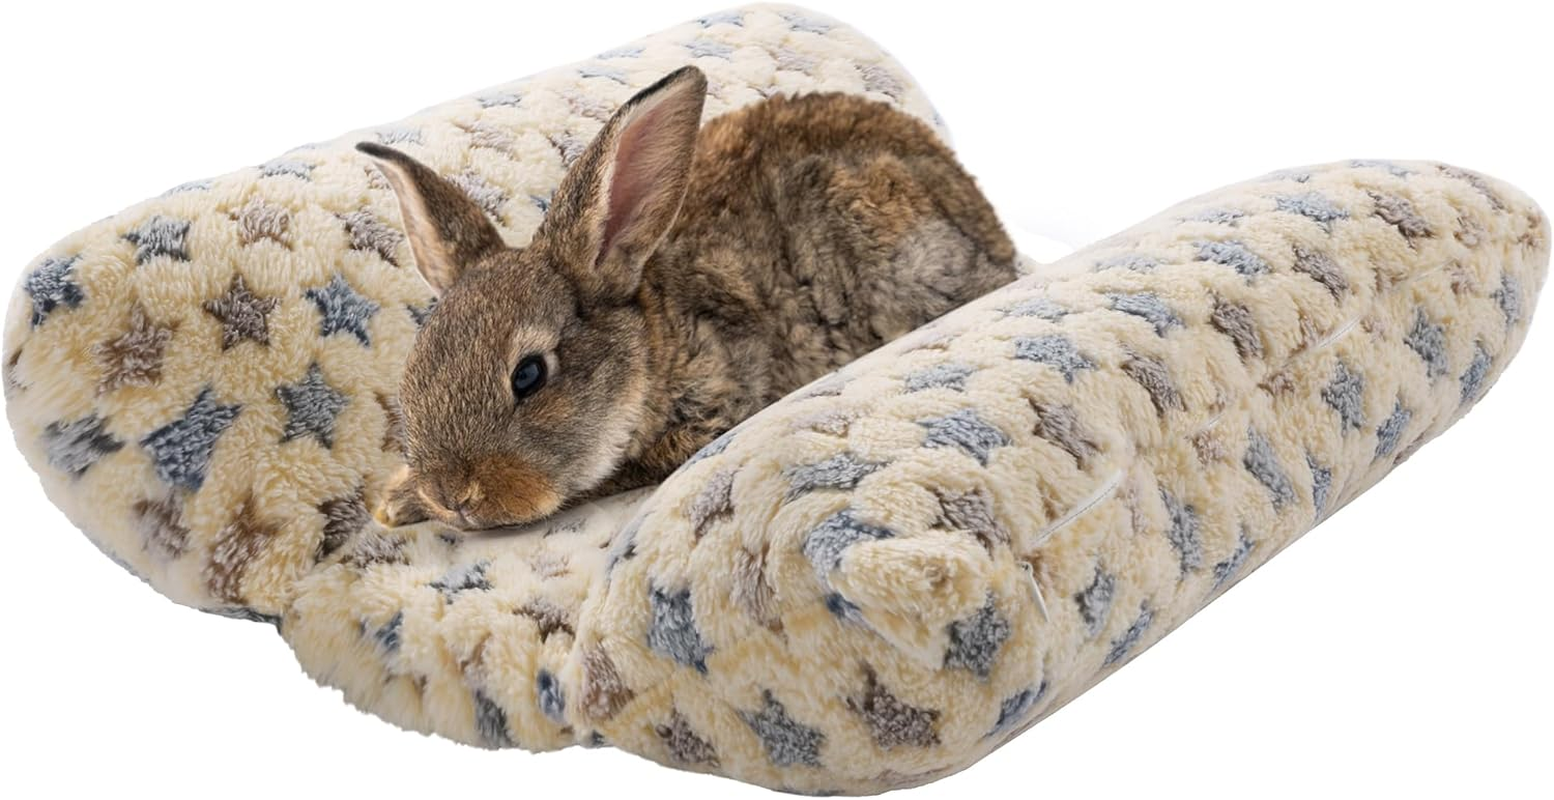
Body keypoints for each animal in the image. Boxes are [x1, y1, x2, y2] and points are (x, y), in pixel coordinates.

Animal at [360, 65, 1018, 530]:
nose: (452, 494)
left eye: (528, 375)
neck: (650, 352)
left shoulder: (715, 404)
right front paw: (399, 499)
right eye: (413, 371)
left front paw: (399, 503)